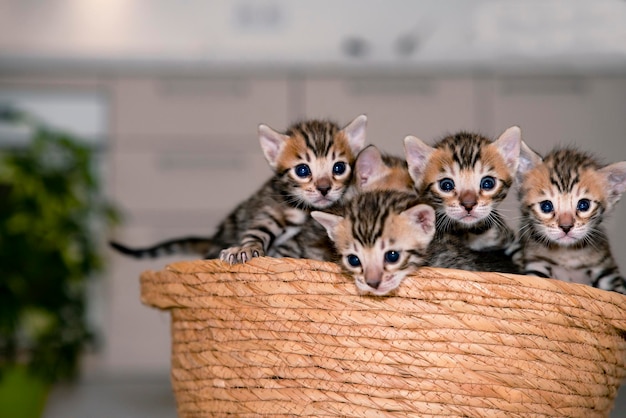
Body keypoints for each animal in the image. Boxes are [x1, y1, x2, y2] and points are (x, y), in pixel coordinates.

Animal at [108, 113, 366, 264]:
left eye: (339, 167)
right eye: (303, 170)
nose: (324, 188)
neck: (304, 211)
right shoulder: (270, 210)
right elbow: (257, 232)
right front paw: (246, 249)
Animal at [512, 144, 624, 294]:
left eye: (584, 205)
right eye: (546, 206)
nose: (566, 227)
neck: (568, 254)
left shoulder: (605, 267)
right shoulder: (536, 262)